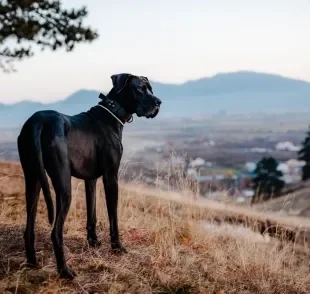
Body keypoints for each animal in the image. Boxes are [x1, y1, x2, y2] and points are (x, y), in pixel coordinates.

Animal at [17, 73, 162, 278]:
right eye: (140, 88)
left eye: (150, 88)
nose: (158, 102)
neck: (113, 112)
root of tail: (38, 122)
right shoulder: (111, 177)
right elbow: (113, 215)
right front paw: (117, 246)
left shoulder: (90, 179)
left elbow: (91, 210)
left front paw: (93, 241)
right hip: (63, 185)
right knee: (56, 232)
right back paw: (65, 271)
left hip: (33, 180)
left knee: (28, 227)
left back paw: (32, 263)